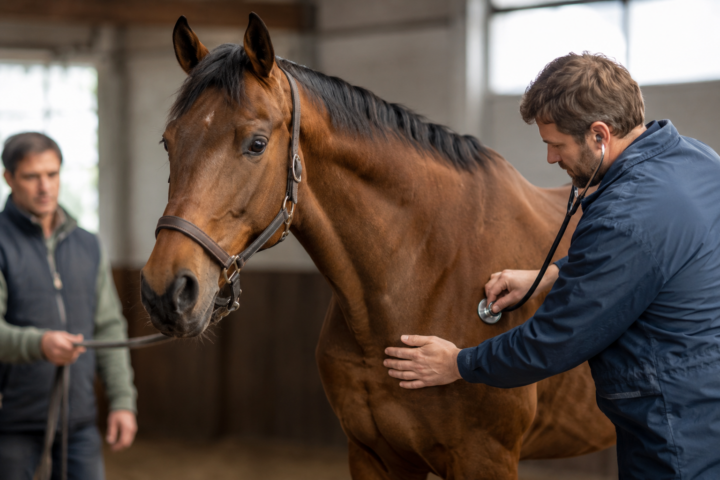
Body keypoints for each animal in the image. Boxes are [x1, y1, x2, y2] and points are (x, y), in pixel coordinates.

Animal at [140, 13, 616, 479]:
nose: (165, 291)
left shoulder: (485, 458)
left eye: (256, 144)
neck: (423, 274)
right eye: (167, 141)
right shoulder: (374, 454)